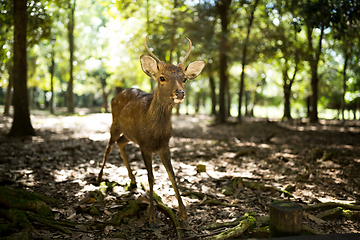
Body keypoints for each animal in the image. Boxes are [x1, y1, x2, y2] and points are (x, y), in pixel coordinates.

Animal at [97, 34, 205, 228]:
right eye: (162, 77)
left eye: (184, 78)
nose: (180, 93)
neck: (155, 133)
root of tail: (116, 95)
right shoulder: (144, 145)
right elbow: (151, 177)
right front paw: (152, 218)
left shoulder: (164, 145)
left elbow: (172, 175)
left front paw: (184, 215)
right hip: (115, 123)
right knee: (109, 146)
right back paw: (98, 178)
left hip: (129, 134)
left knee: (121, 143)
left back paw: (132, 180)